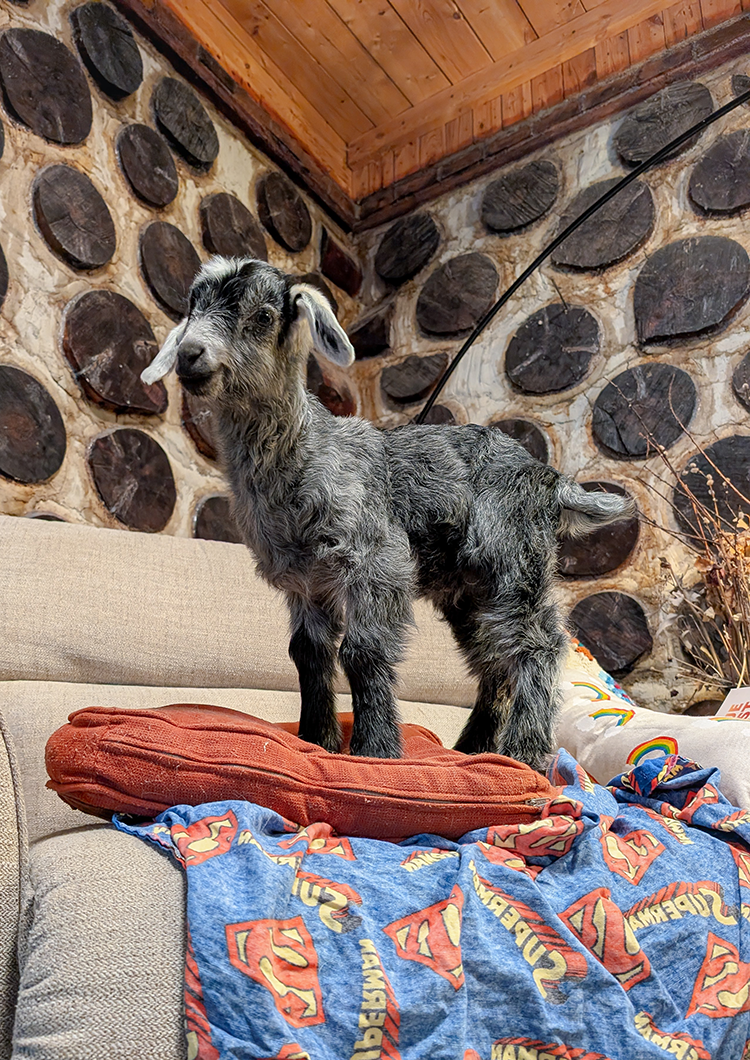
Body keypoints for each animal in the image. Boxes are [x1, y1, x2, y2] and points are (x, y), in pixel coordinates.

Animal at [143, 257, 634, 771]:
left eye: (262, 316)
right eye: (192, 308)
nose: (190, 354)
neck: (306, 450)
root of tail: (550, 479)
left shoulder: (376, 562)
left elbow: (362, 652)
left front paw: (375, 749)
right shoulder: (306, 582)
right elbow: (308, 653)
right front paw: (317, 740)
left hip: (511, 559)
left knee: (538, 645)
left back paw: (525, 751)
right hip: (468, 591)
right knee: (496, 658)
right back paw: (473, 748)